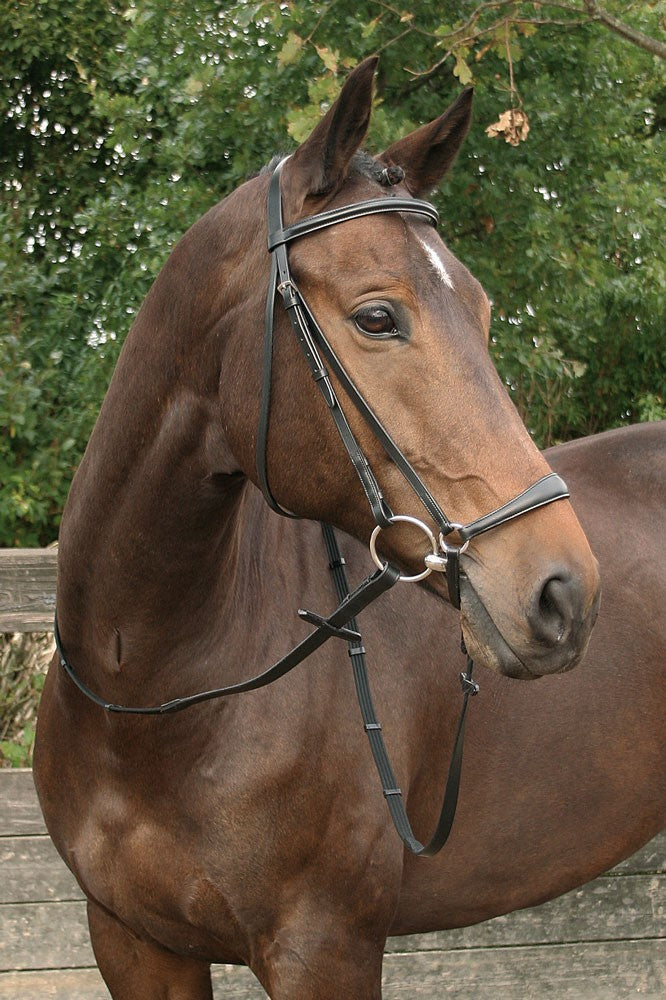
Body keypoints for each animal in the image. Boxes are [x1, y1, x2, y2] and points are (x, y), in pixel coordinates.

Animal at [35, 55, 664, 999]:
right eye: (377, 317)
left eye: (482, 315)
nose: (563, 593)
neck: (151, 690)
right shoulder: (133, 942)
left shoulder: (324, 947)